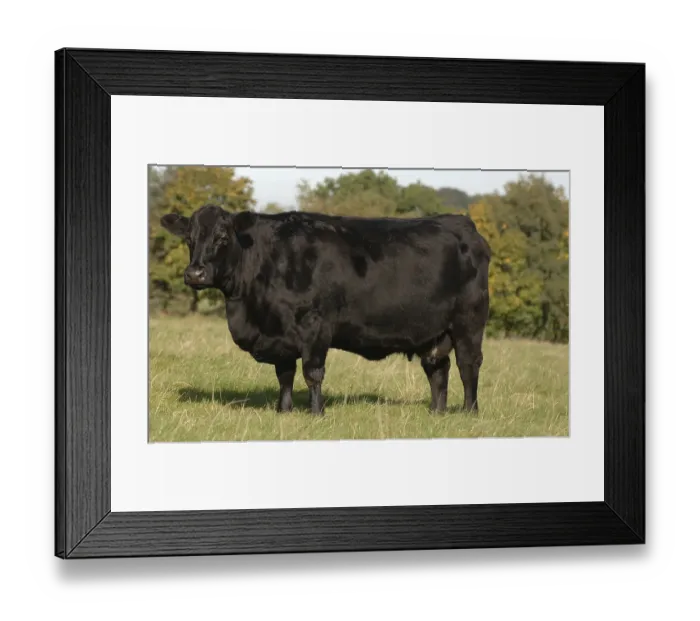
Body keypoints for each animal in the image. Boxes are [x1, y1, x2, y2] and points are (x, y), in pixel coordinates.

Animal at [161, 205, 491, 415]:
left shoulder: (315, 326)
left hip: (469, 322)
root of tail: (463, 224)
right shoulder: (280, 335)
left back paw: (469, 412)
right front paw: (284, 411)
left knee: (468, 365)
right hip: (434, 331)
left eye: (222, 237)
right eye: (189, 239)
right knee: (437, 368)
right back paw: (437, 412)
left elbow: (312, 373)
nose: (195, 273)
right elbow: (284, 374)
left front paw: (316, 413)